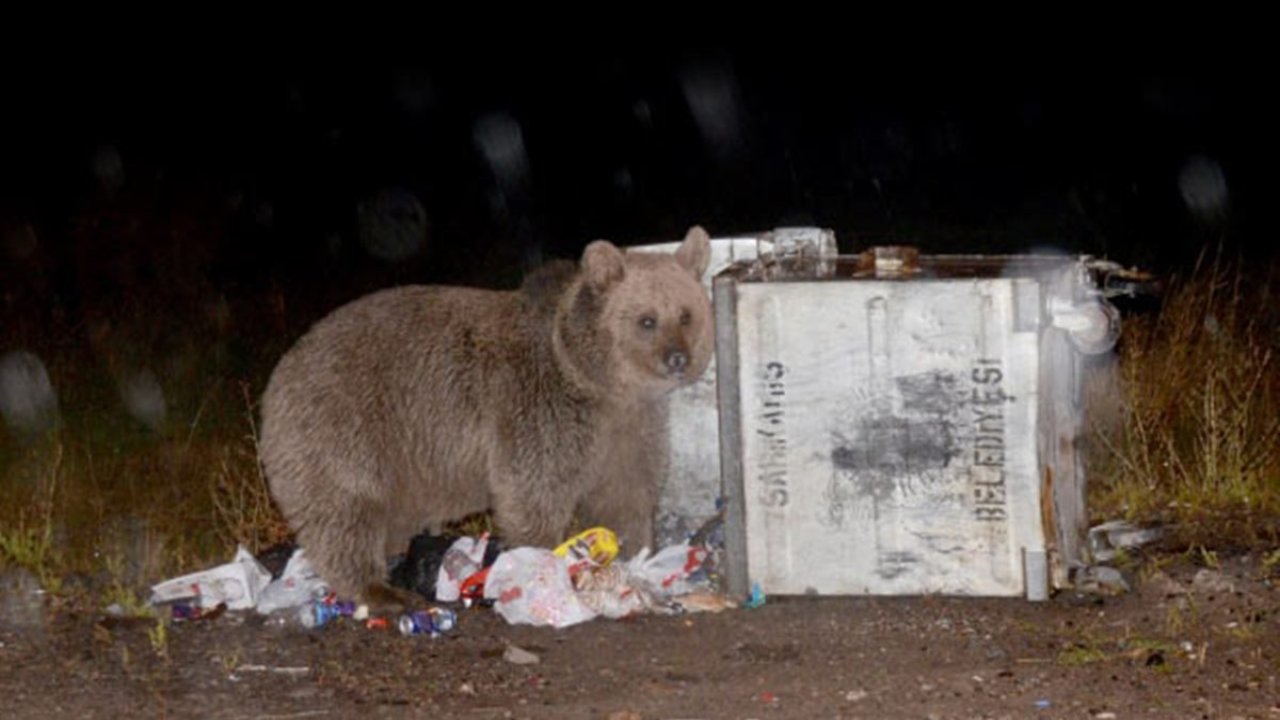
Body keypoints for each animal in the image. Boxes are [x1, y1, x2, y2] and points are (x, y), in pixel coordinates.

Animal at [254, 224, 716, 604]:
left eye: (685, 314)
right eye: (647, 320)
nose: (677, 359)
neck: (598, 382)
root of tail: (279, 372)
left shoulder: (628, 428)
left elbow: (628, 492)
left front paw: (639, 551)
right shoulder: (540, 411)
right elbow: (534, 492)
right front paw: (541, 562)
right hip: (345, 423)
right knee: (346, 508)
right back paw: (377, 588)